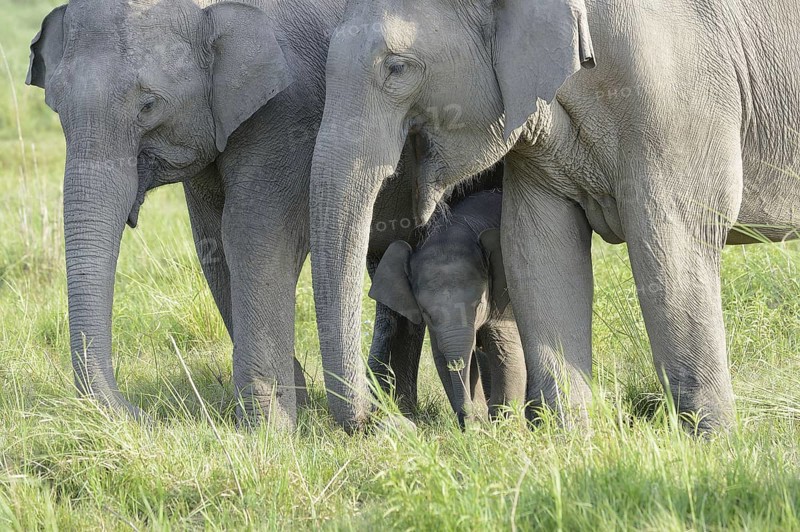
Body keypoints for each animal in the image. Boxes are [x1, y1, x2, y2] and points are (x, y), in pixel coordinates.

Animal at [370, 190, 526, 427]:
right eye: (427, 314)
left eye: (478, 305)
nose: (469, 420)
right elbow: (442, 359)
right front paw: (477, 426)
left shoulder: (504, 294)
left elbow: (507, 352)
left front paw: (501, 427)